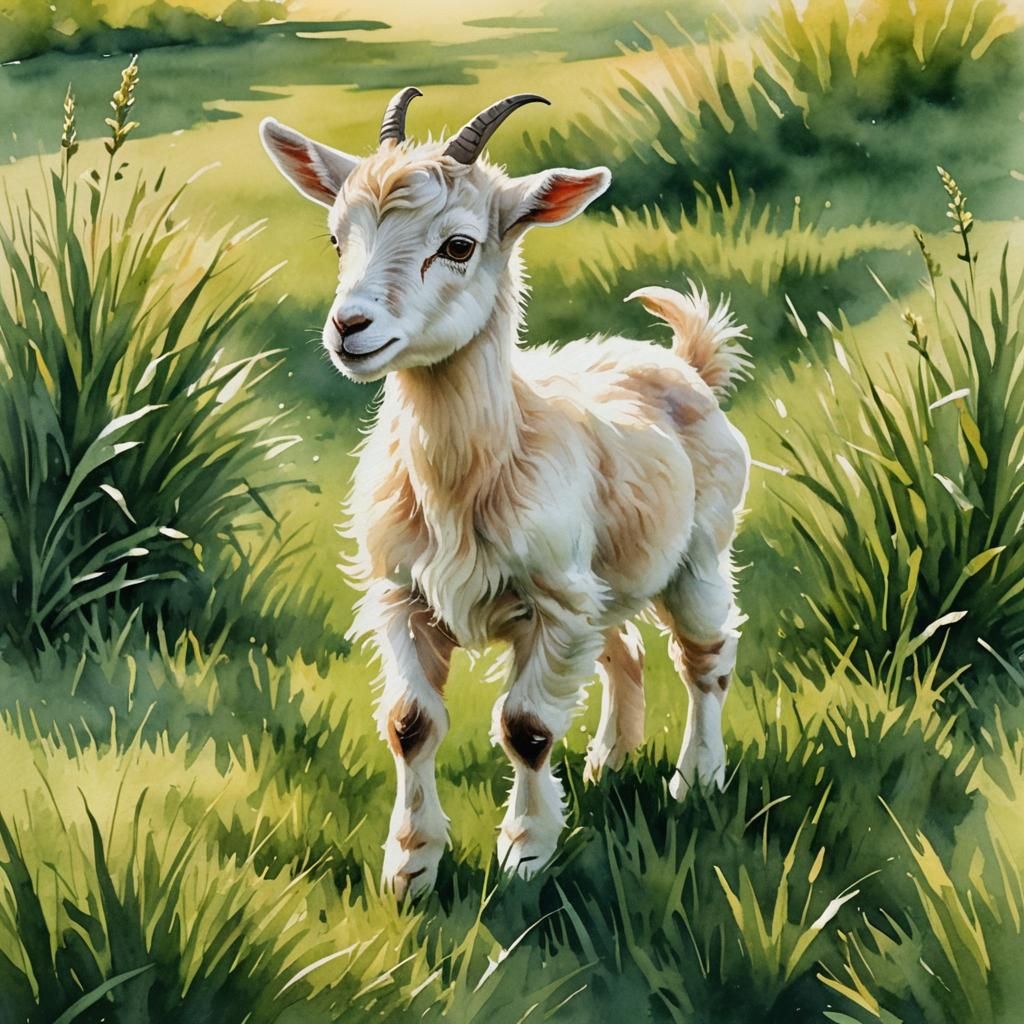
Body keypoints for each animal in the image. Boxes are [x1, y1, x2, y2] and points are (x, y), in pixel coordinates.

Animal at [260, 88, 751, 899]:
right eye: (336, 239)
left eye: (459, 245)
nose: (349, 328)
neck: (470, 476)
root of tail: (686, 364)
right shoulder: (402, 594)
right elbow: (410, 722)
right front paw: (410, 868)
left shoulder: (550, 603)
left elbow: (527, 727)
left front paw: (524, 854)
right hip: (598, 584)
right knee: (625, 651)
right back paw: (610, 761)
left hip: (699, 556)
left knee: (704, 657)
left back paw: (696, 779)